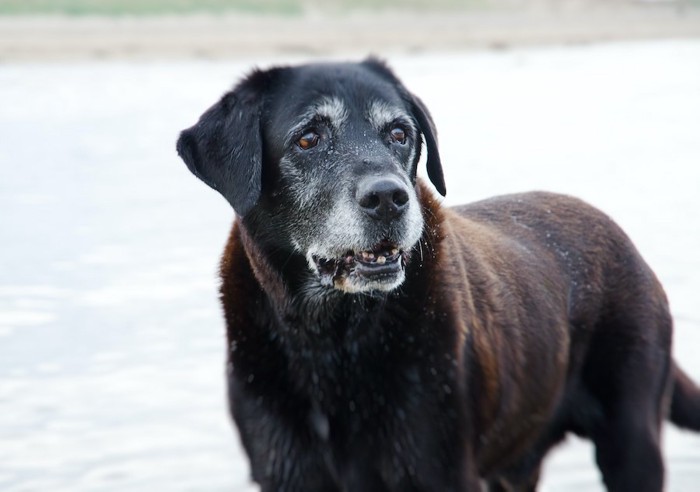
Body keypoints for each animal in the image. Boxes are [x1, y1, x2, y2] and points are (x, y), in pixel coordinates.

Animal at [176, 59, 700, 490]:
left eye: (399, 133)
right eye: (308, 139)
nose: (388, 197)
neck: (332, 338)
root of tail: (623, 239)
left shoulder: (438, 470)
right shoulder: (287, 473)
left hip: (632, 441)